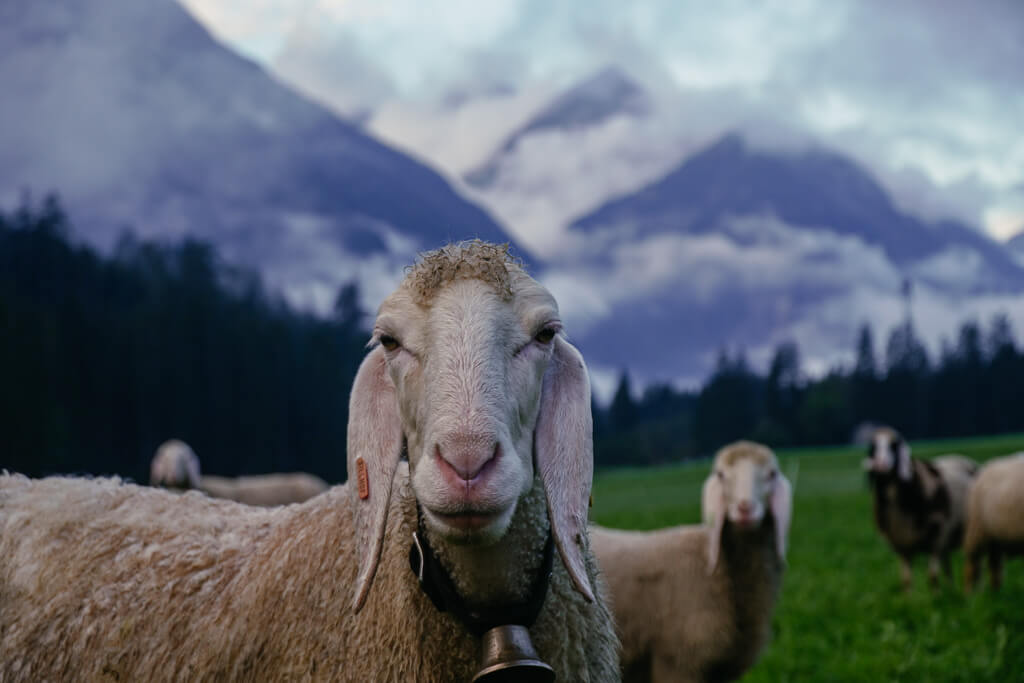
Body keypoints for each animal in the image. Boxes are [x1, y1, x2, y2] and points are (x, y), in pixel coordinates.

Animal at [863, 426, 978, 590]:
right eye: (873, 447)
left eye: (894, 446)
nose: (880, 465)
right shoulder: (901, 544)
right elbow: (906, 580)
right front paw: (908, 596)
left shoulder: (936, 536)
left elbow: (932, 576)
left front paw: (936, 595)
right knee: (947, 565)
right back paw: (950, 587)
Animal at [963, 452, 1024, 593]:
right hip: (977, 528)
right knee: (973, 565)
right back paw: (970, 594)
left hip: (995, 537)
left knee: (994, 566)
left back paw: (996, 593)